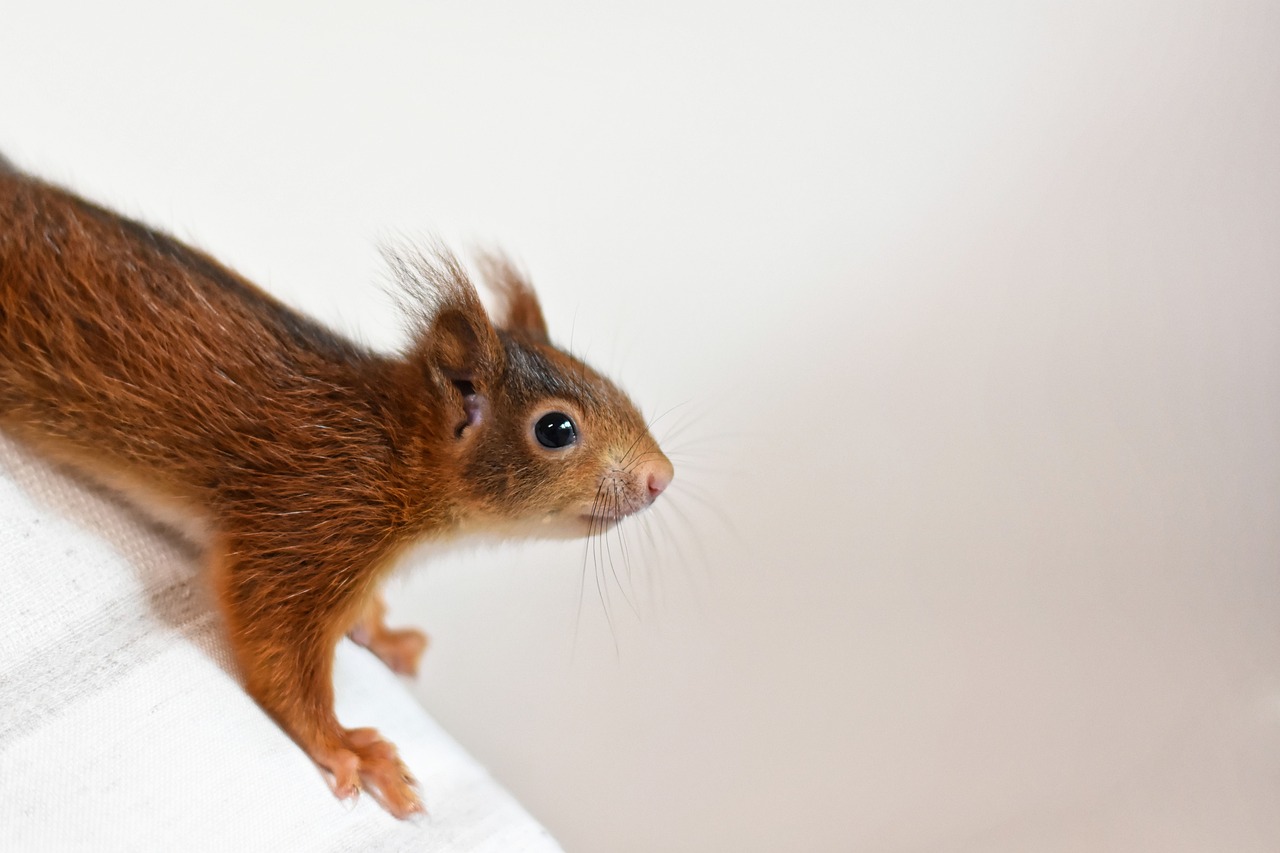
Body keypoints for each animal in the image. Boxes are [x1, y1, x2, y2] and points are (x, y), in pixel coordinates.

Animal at [0, 154, 675, 819]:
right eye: (555, 429)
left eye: (607, 380)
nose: (661, 478)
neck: (394, 449)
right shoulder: (316, 517)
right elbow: (276, 637)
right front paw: (345, 745)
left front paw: (381, 632)